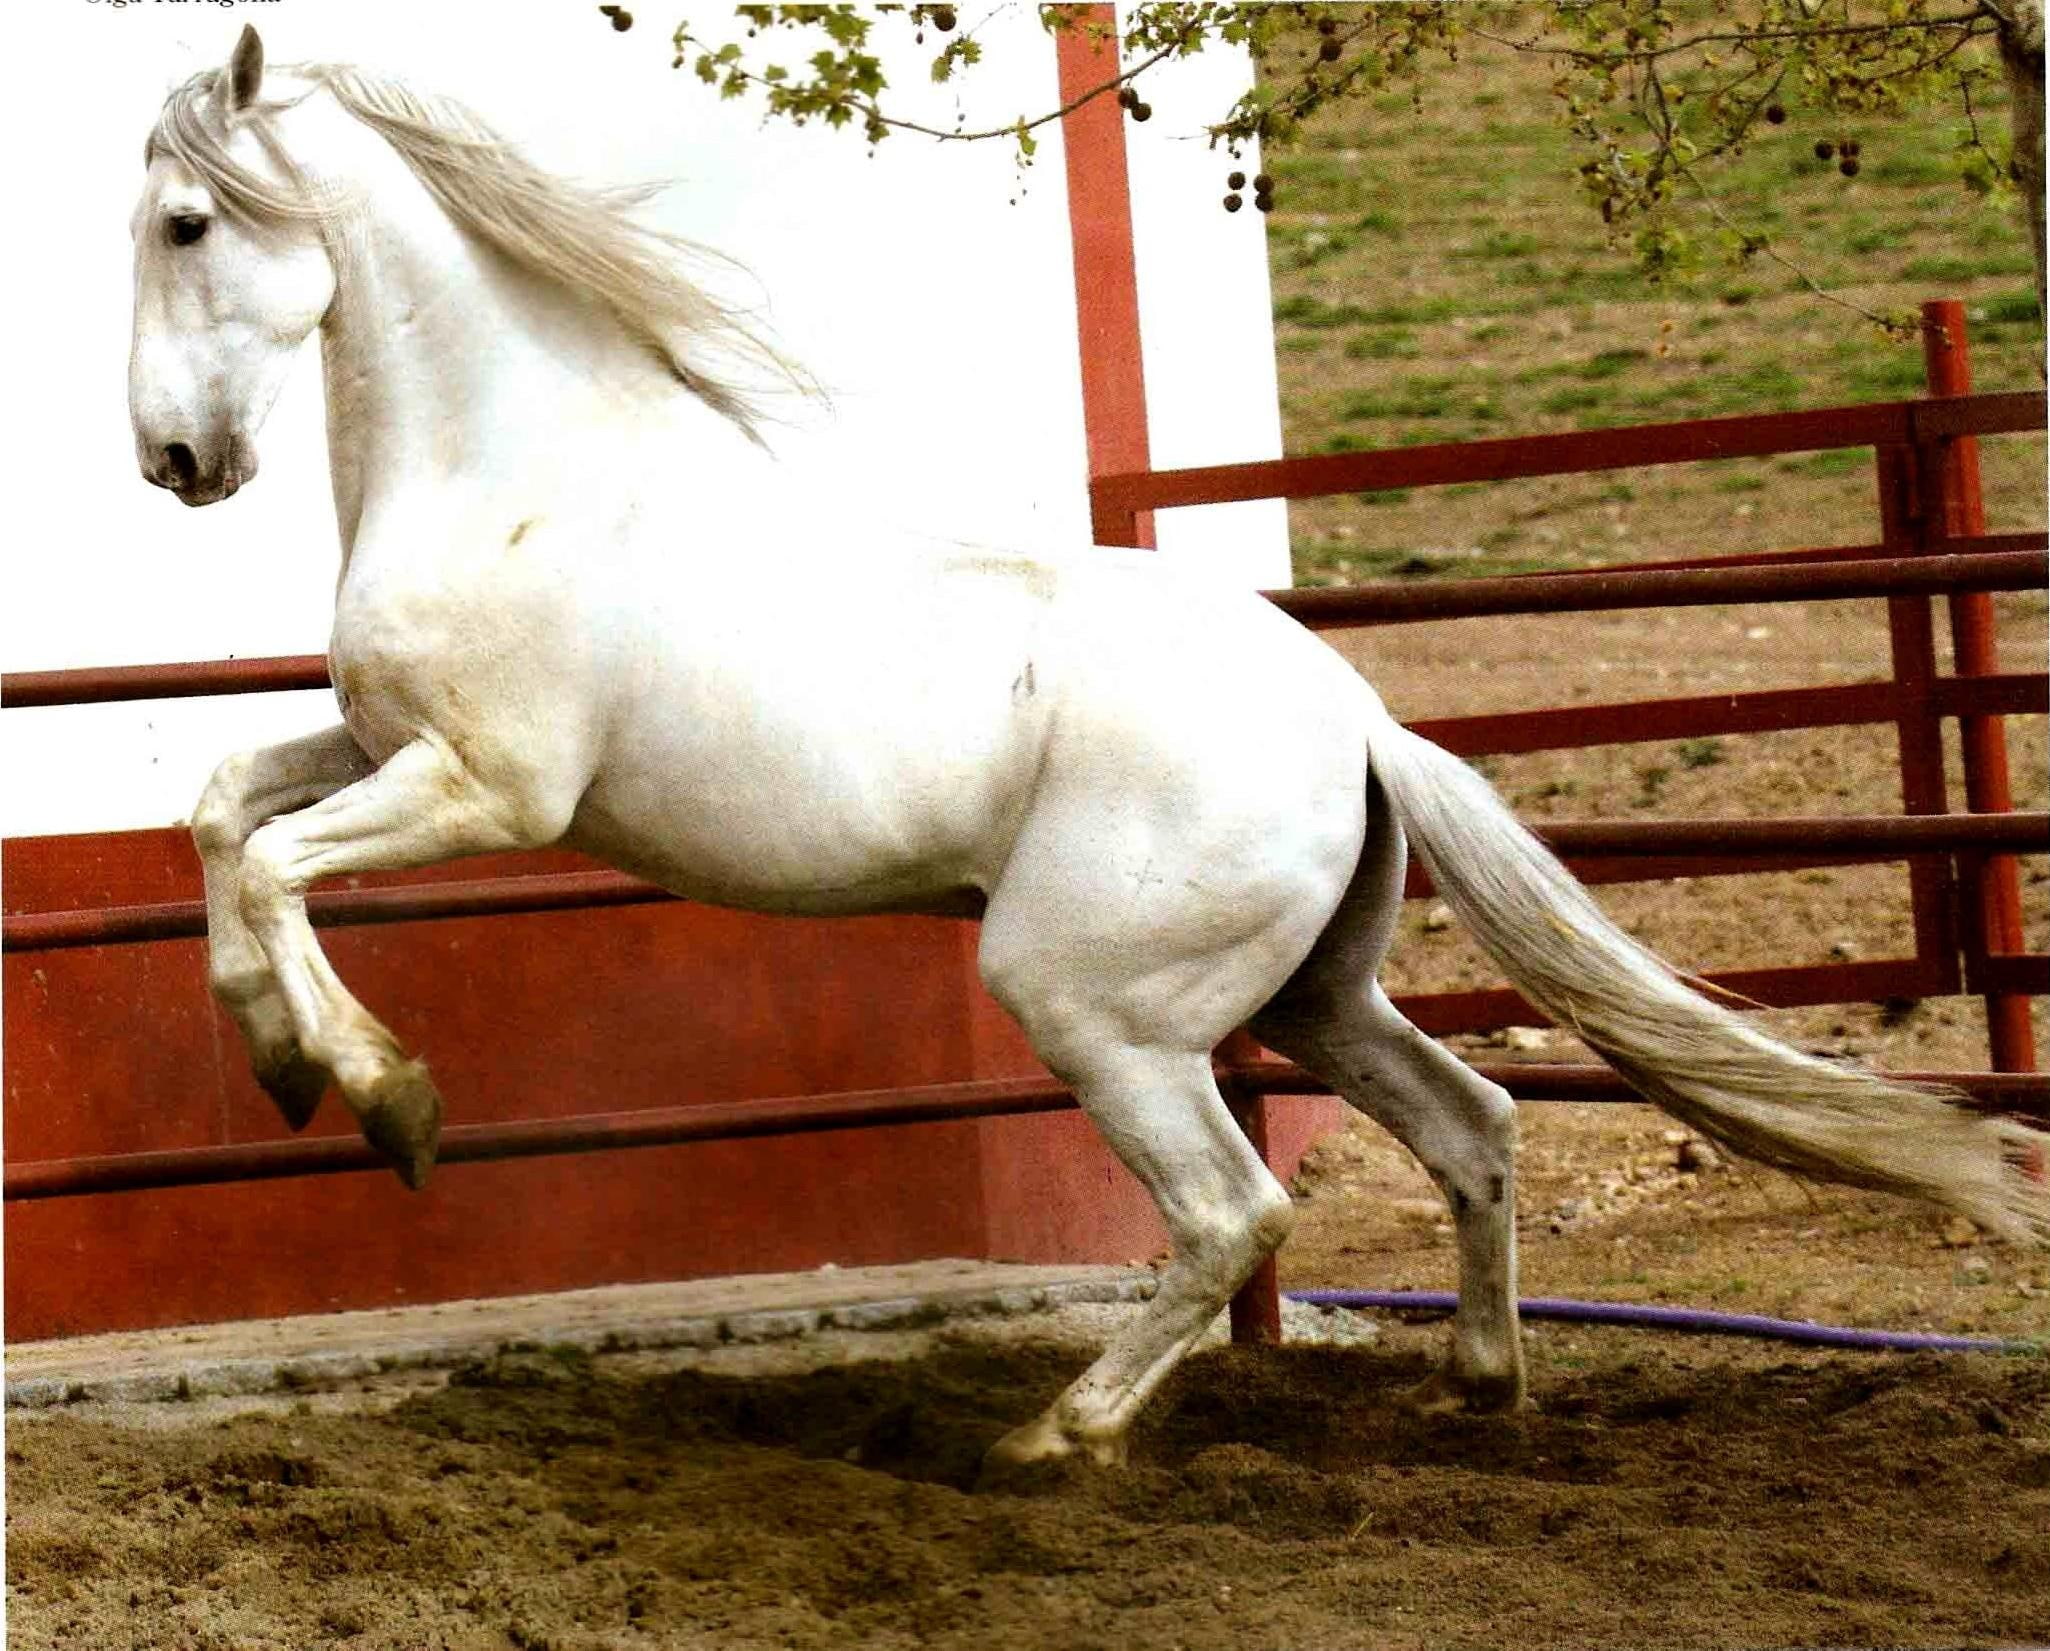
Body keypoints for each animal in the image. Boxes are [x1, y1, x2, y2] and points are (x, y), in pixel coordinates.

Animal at [129, 26, 2046, 1472]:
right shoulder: (378, 742)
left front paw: (386, 1097)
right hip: (1306, 997)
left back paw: (1059, 1434)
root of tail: (1359, 718)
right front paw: (276, 1060)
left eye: (184, 223)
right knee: (1474, 1119)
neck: (513, 473)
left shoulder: (490, 791)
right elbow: (223, 817)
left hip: (1094, 1001)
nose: (172, 463)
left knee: (1235, 1214)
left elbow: (280, 866)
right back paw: (1478, 1389)